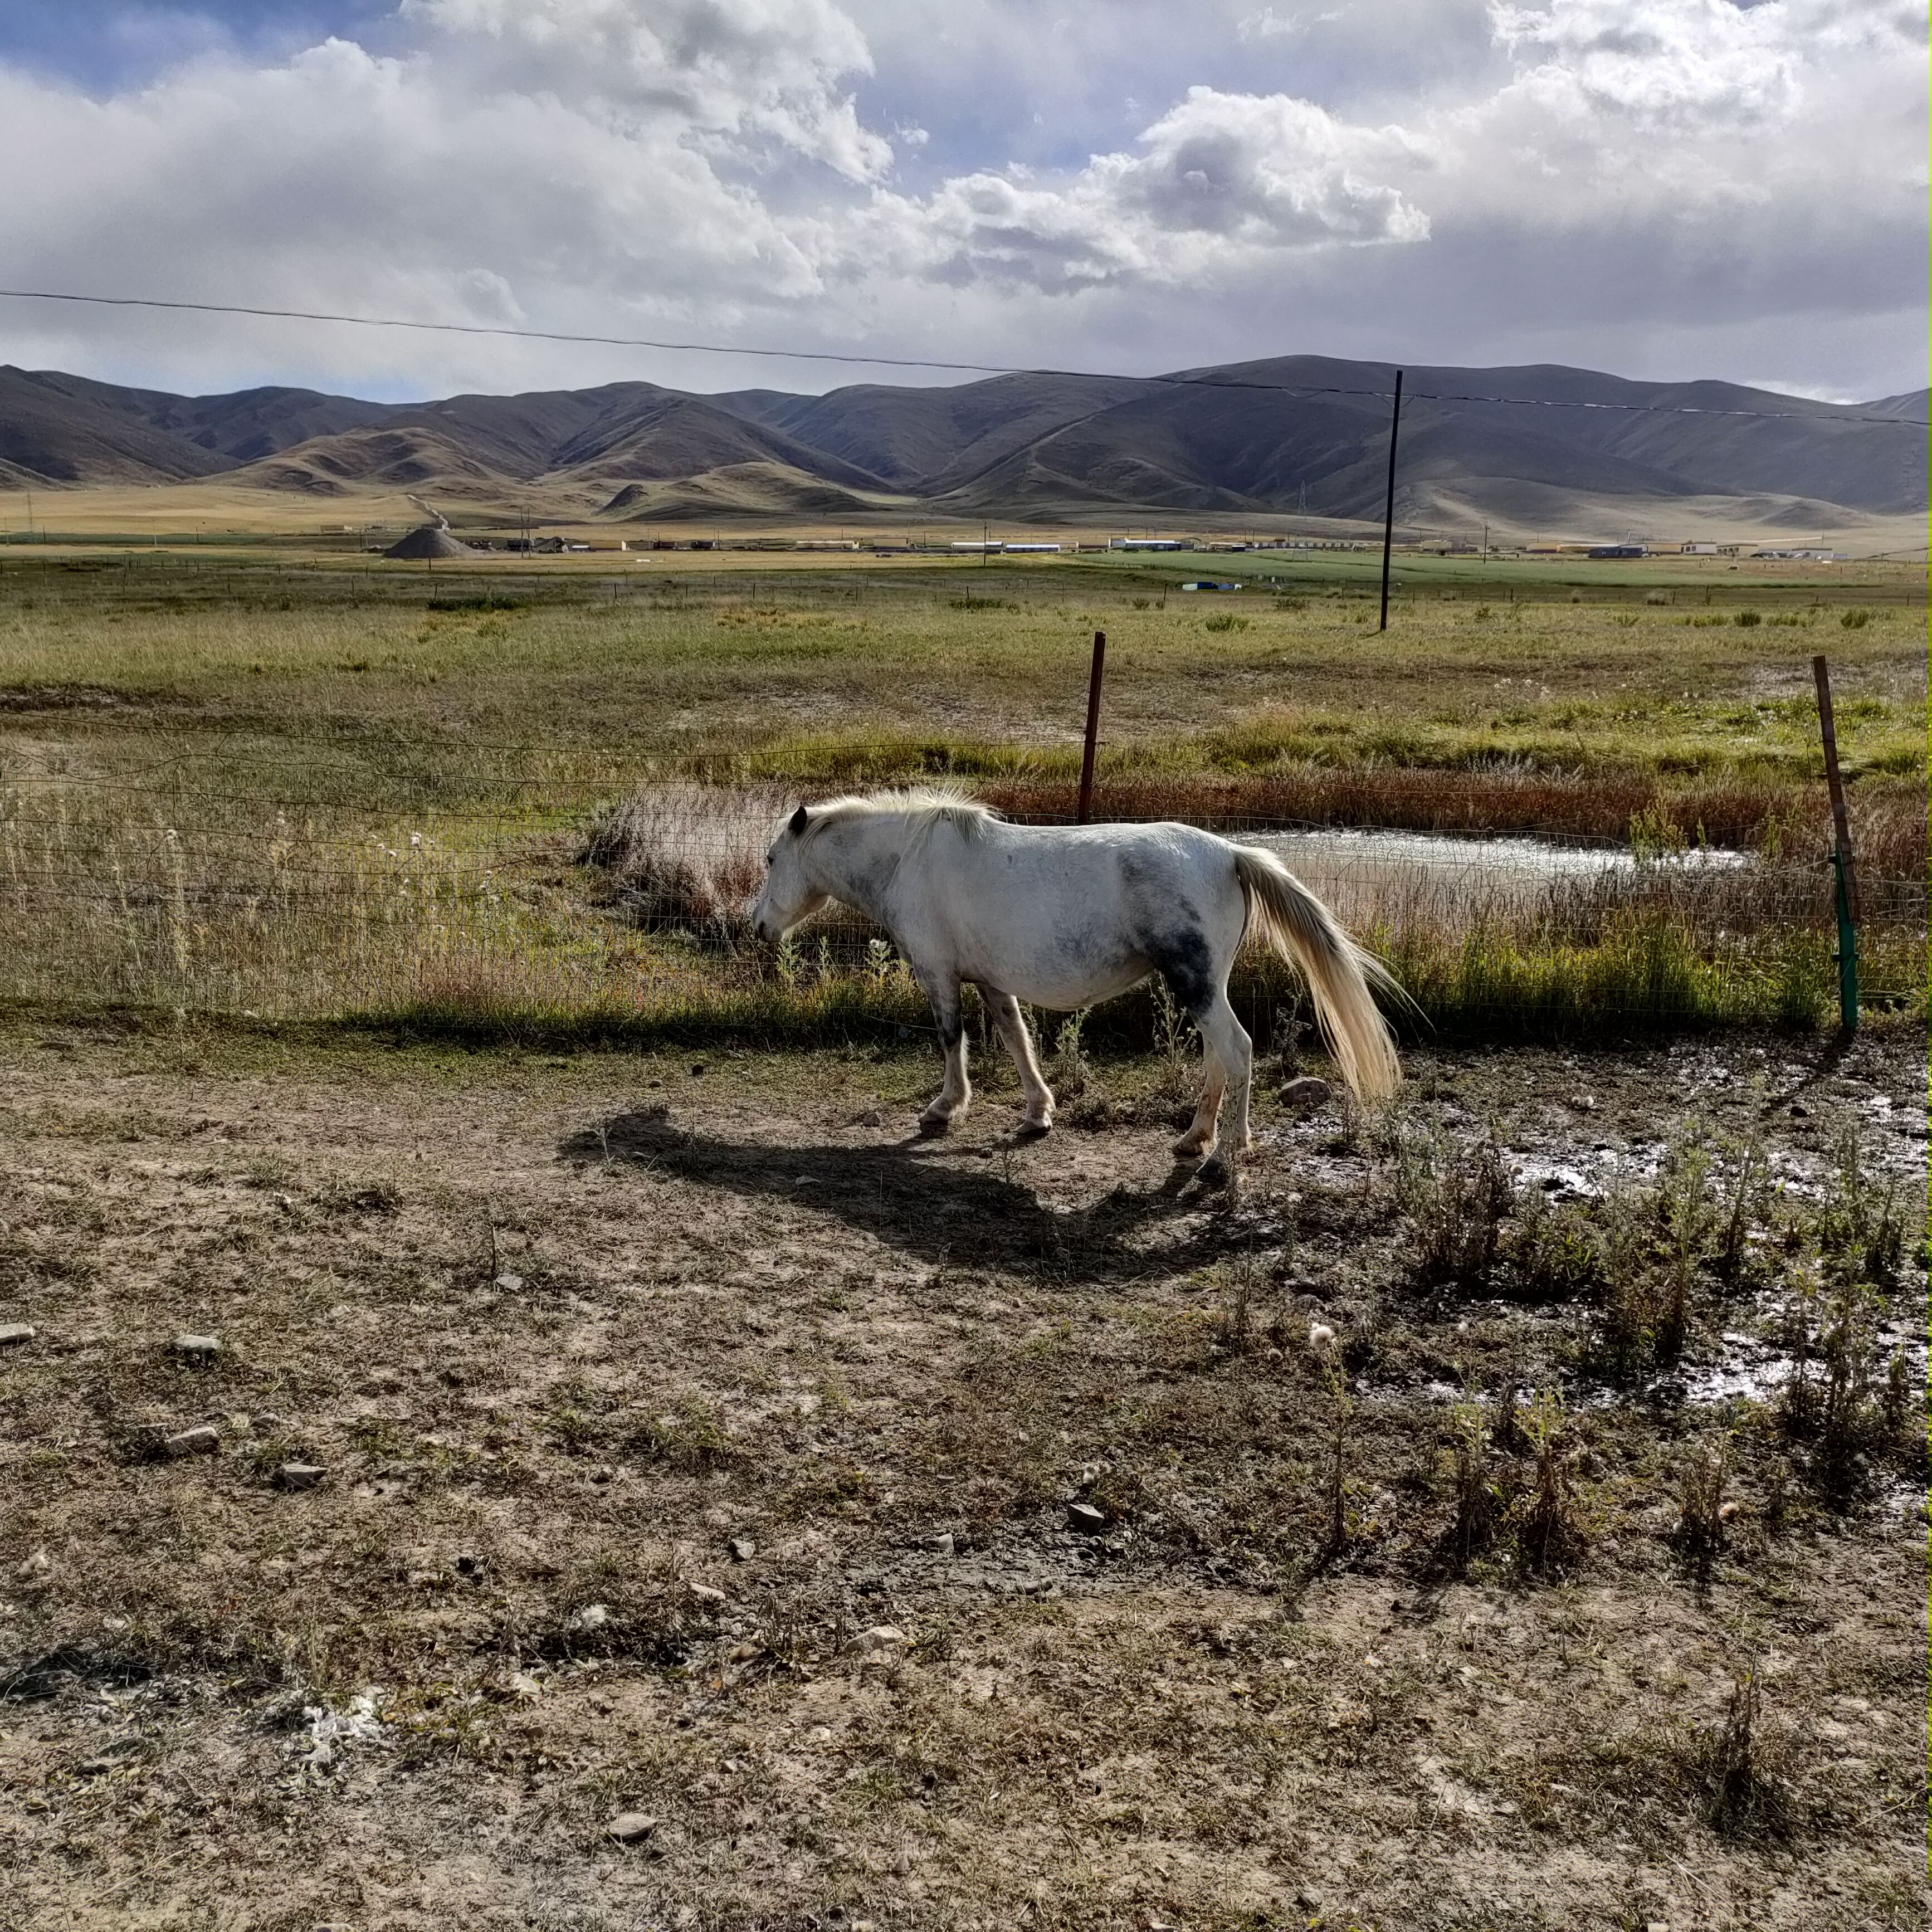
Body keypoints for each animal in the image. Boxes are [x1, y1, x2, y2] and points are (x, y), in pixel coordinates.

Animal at [745, 788, 1398, 1174]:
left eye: (772, 860)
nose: (757, 926)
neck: (908, 859)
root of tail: (1231, 854)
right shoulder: (992, 982)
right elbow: (1016, 1041)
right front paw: (1037, 1113)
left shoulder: (938, 974)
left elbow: (951, 1041)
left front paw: (945, 1109)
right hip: (1206, 987)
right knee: (1219, 1057)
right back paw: (1194, 1139)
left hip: (1197, 985)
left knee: (1237, 1052)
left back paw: (1225, 1156)